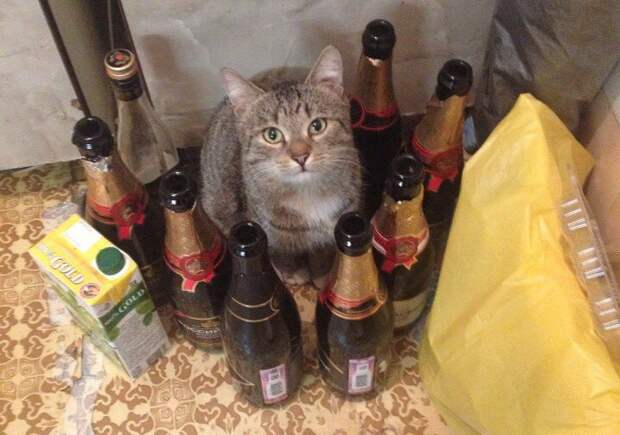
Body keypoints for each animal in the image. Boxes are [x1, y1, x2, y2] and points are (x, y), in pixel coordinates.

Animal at [201, 46, 361, 287]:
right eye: (272, 135)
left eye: (317, 125)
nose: (300, 156)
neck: (308, 193)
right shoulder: (266, 230)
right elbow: (280, 255)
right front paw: (294, 274)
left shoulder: (337, 222)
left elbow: (325, 252)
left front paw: (324, 276)